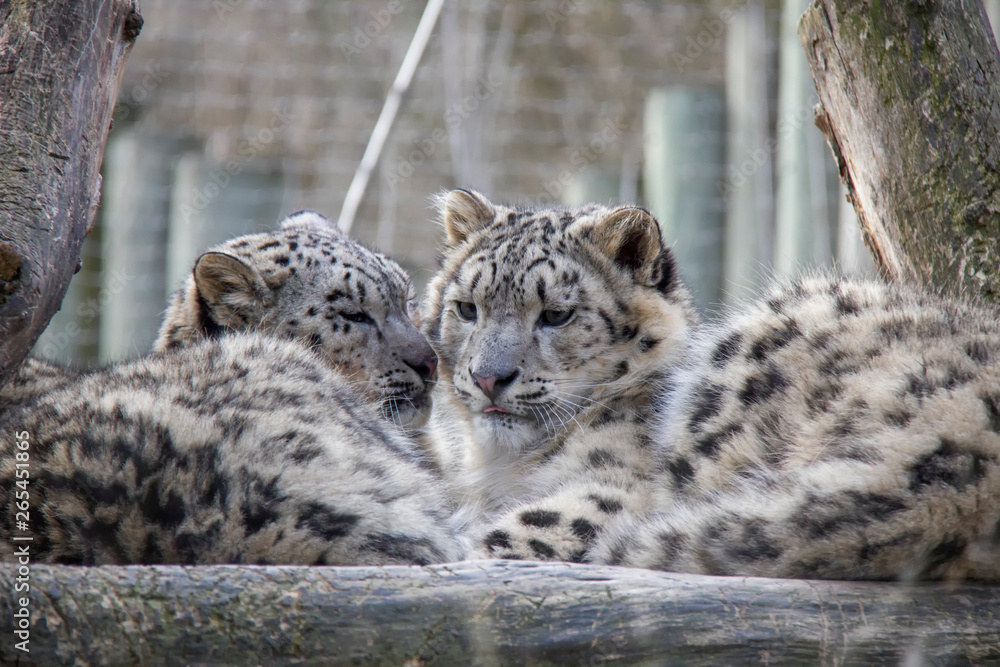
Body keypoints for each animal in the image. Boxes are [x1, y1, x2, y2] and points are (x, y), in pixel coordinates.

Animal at [422, 189, 698, 562]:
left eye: (556, 315)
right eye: (467, 308)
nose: (487, 378)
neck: (502, 464)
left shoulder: (615, 489)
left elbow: (522, 530)